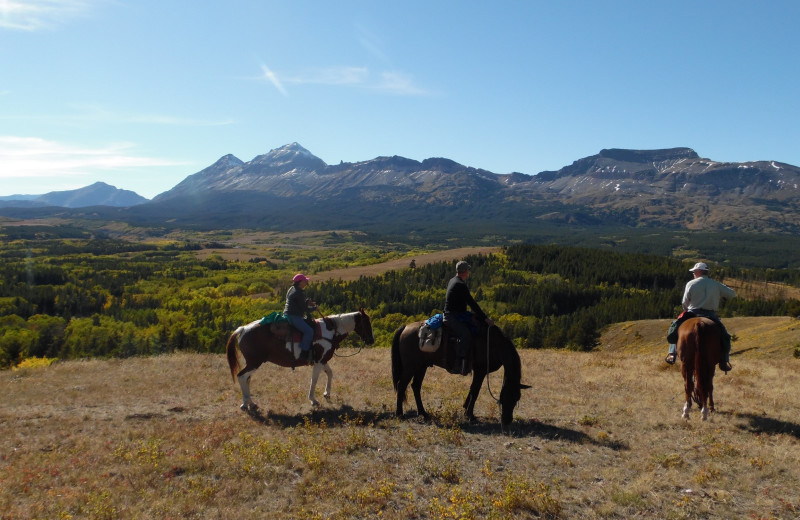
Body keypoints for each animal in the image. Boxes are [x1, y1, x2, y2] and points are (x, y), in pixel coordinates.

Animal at [225, 308, 376, 410]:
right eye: (366, 322)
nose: (371, 340)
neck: (330, 331)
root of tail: (243, 329)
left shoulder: (323, 360)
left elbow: (330, 373)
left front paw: (327, 393)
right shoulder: (318, 362)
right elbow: (314, 379)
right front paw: (313, 400)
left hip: (252, 363)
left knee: (247, 379)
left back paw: (250, 403)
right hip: (254, 362)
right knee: (242, 377)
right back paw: (246, 403)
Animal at [390, 320, 528, 430]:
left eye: (517, 398)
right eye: (506, 396)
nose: (507, 420)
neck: (492, 342)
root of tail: (405, 327)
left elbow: (472, 390)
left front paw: (466, 408)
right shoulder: (481, 370)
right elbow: (475, 390)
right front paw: (470, 415)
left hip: (421, 366)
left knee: (416, 386)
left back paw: (423, 413)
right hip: (410, 367)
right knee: (402, 386)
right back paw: (400, 414)